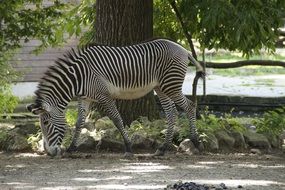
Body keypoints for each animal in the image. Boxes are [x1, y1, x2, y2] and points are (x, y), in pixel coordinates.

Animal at [26, 37, 204, 157]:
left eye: (46, 123)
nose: (49, 153)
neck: (78, 77)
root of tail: (184, 50)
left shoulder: (104, 96)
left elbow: (117, 120)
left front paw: (129, 147)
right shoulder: (85, 98)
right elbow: (79, 123)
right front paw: (71, 148)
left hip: (170, 85)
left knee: (189, 106)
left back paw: (196, 142)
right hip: (160, 87)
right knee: (171, 113)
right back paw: (162, 148)